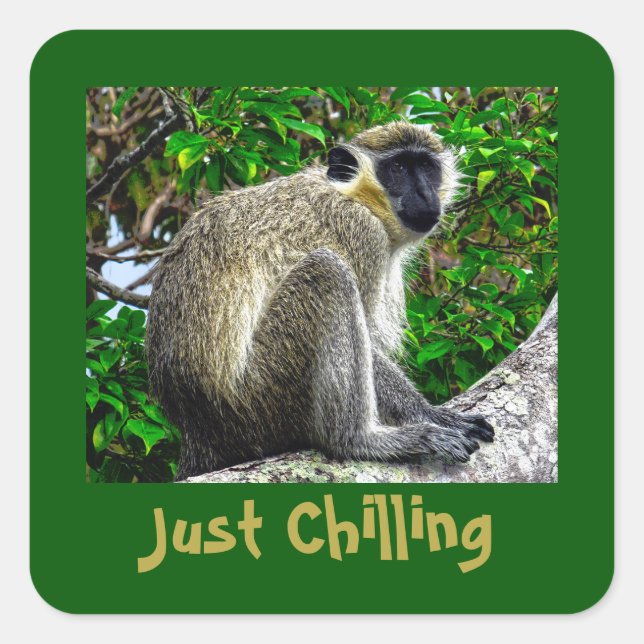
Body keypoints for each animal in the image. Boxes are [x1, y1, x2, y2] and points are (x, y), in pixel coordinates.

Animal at [146, 120, 494, 481]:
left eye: (426, 167)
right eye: (398, 168)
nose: (425, 195)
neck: (355, 196)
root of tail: (197, 433)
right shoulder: (359, 230)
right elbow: (369, 344)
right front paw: (432, 414)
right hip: (259, 398)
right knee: (327, 272)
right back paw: (359, 440)